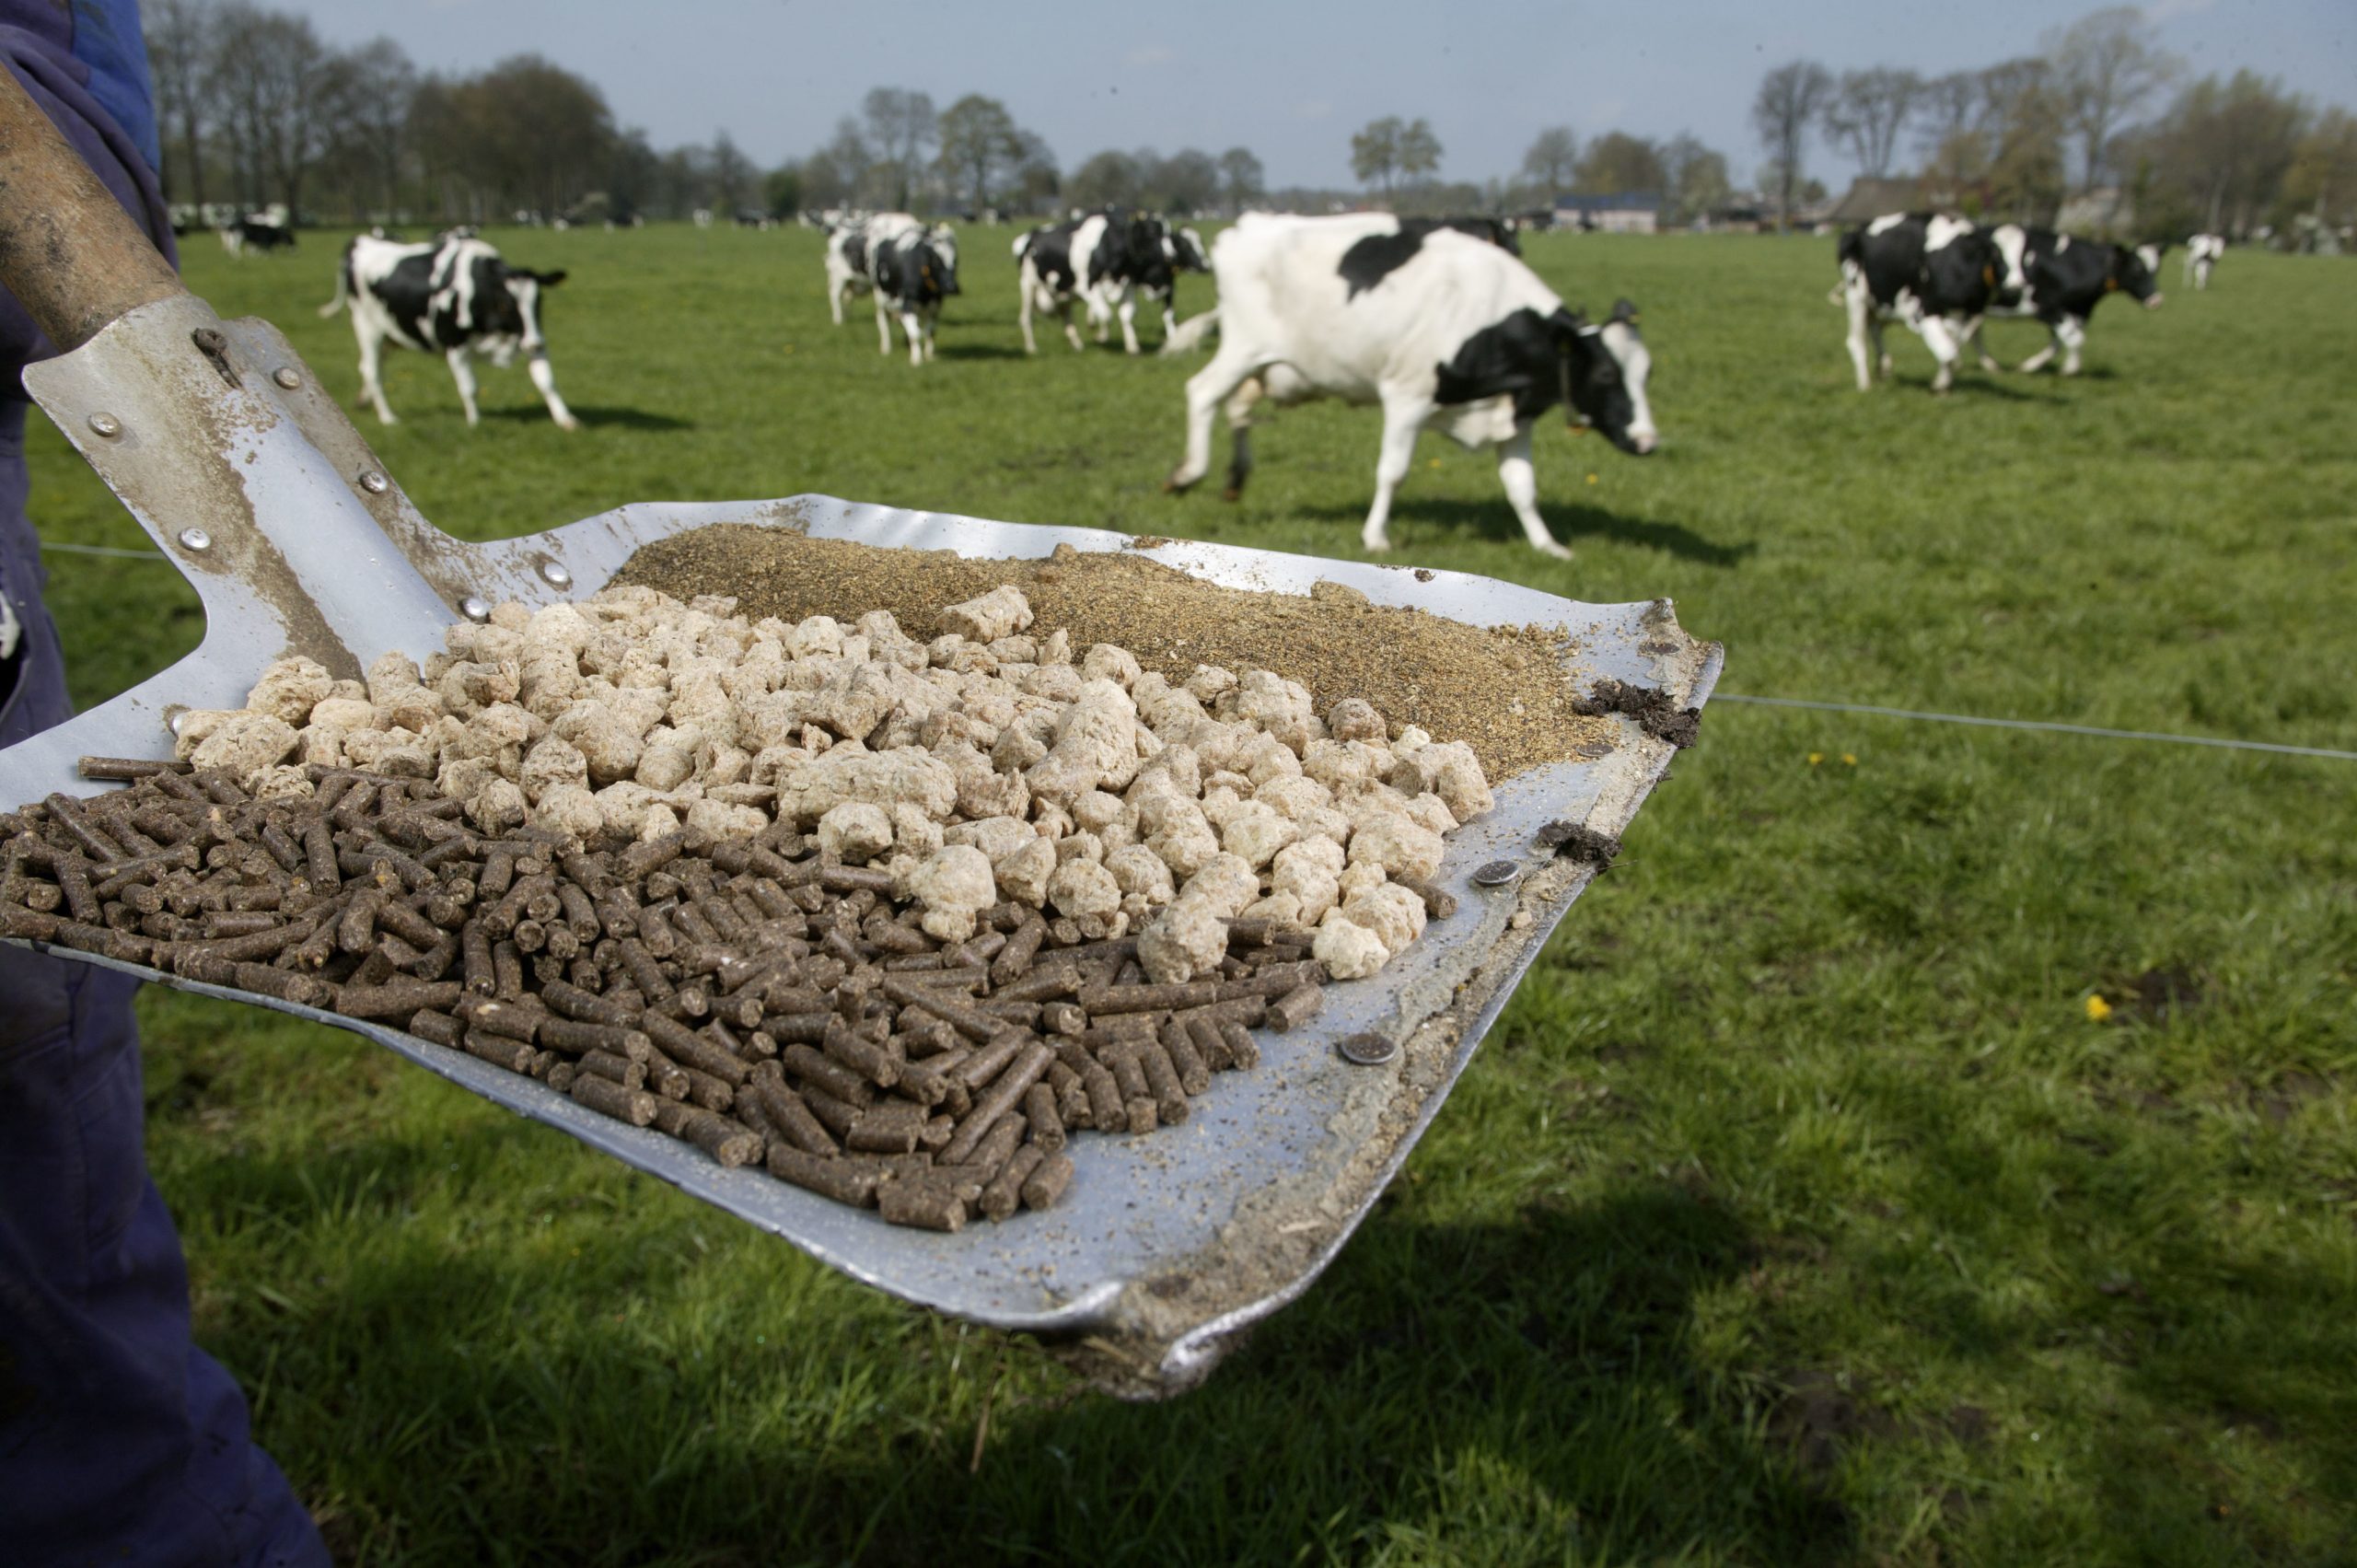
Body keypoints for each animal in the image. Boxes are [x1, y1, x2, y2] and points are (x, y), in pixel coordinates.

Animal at [318, 229, 579, 431]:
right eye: (506, 304)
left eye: (538, 301)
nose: (536, 343)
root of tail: (361, 240)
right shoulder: (456, 345)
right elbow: (470, 387)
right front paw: (475, 423)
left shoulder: (525, 336)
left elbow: (546, 381)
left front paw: (566, 420)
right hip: (367, 325)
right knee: (372, 370)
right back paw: (388, 417)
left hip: (391, 333)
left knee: (370, 367)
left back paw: (363, 401)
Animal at [1008, 207, 1206, 351]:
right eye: (1151, 232)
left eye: (1169, 234)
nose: (1170, 256)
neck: (1109, 243)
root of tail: (1032, 234)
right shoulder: (1087, 285)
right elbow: (1106, 314)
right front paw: (1101, 336)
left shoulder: (1127, 282)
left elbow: (1127, 314)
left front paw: (1132, 346)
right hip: (1028, 284)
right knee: (1026, 317)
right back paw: (1032, 347)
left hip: (1064, 292)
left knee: (1067, 316)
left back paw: (1077, 344)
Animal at [1159, 211, 1659, 556]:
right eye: (1606, 374)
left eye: (1647, 372)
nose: (1647, 441)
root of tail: (1247, 225)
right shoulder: (1407, 396)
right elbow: (1393, 472)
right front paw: (1375, 537)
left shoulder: (1516, 417)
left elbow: (1522, 486)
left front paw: (1547, 545)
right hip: (1244, 345)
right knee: (1202, 392)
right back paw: (1188, 474)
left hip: (1269, 367)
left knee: (1237, 407)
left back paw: (1235, 478)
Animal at [1829, 209, 1998, 393]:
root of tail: (1855, 230)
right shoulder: (1925, 312)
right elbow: (1951, 356)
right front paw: (1940, 385)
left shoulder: (1961, 316)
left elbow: (1953, 349)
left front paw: (1942, 383)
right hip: (1857, 296)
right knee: (1856, 341)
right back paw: (1864, 384)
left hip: (1884, 303)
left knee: (1876, 328)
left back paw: (1883, 366)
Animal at [1960, 226, 2158, 377]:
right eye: (2137, 270)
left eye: (2155, 270)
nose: (2156, 300)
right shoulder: (2048, 309)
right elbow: (2075, 338)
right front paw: (2069, 370)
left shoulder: (2074, 312)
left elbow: (2059, 343)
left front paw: (2031, 366)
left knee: (1973, 333)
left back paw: (1989, 364)